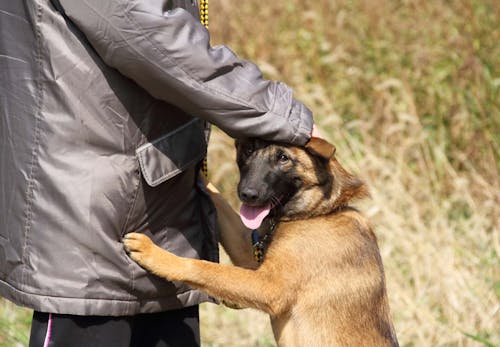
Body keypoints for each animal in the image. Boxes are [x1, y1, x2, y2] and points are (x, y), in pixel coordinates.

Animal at [124, 137, 398, 346]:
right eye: (248, 150)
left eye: (283, 158)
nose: (247, 194)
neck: (321, 211)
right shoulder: (250, 256)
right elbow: (219, 200)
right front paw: (200, 173)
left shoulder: (268, 284)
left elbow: (204, 267)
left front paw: (153, 254)